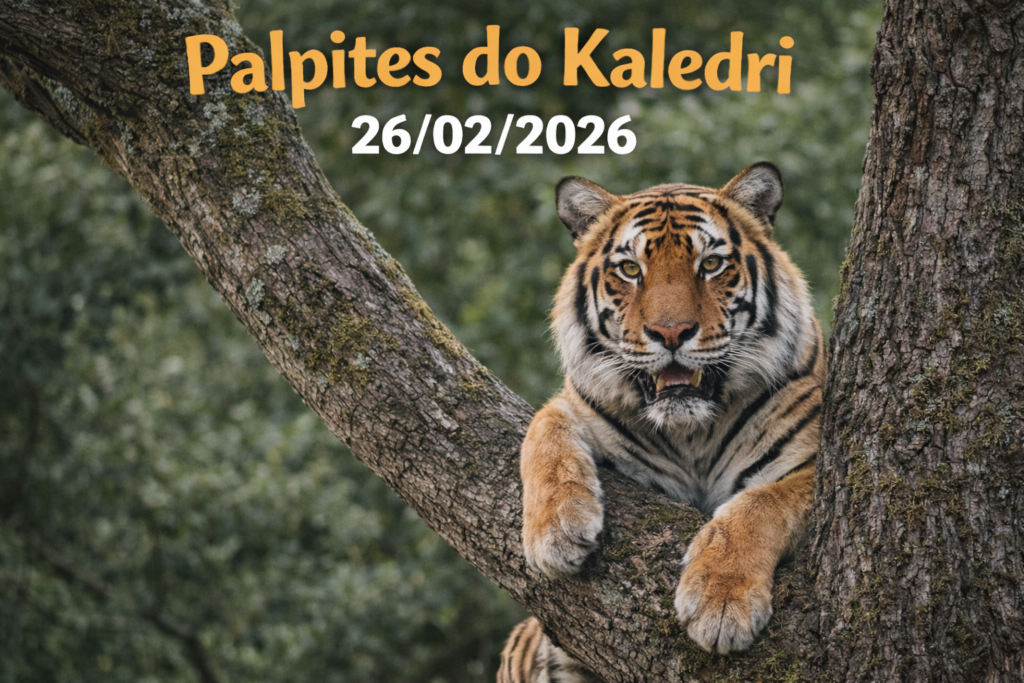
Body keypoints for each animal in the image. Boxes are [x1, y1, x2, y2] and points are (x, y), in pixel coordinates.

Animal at [498, 163, 825, 682]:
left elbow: (762, 503)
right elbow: (544, 424)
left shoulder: (813, 456)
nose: (671, 333)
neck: (692, 433)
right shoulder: (578, 404)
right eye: (631, 269)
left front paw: (719, 602)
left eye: (710, 264)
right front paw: (556, 534)